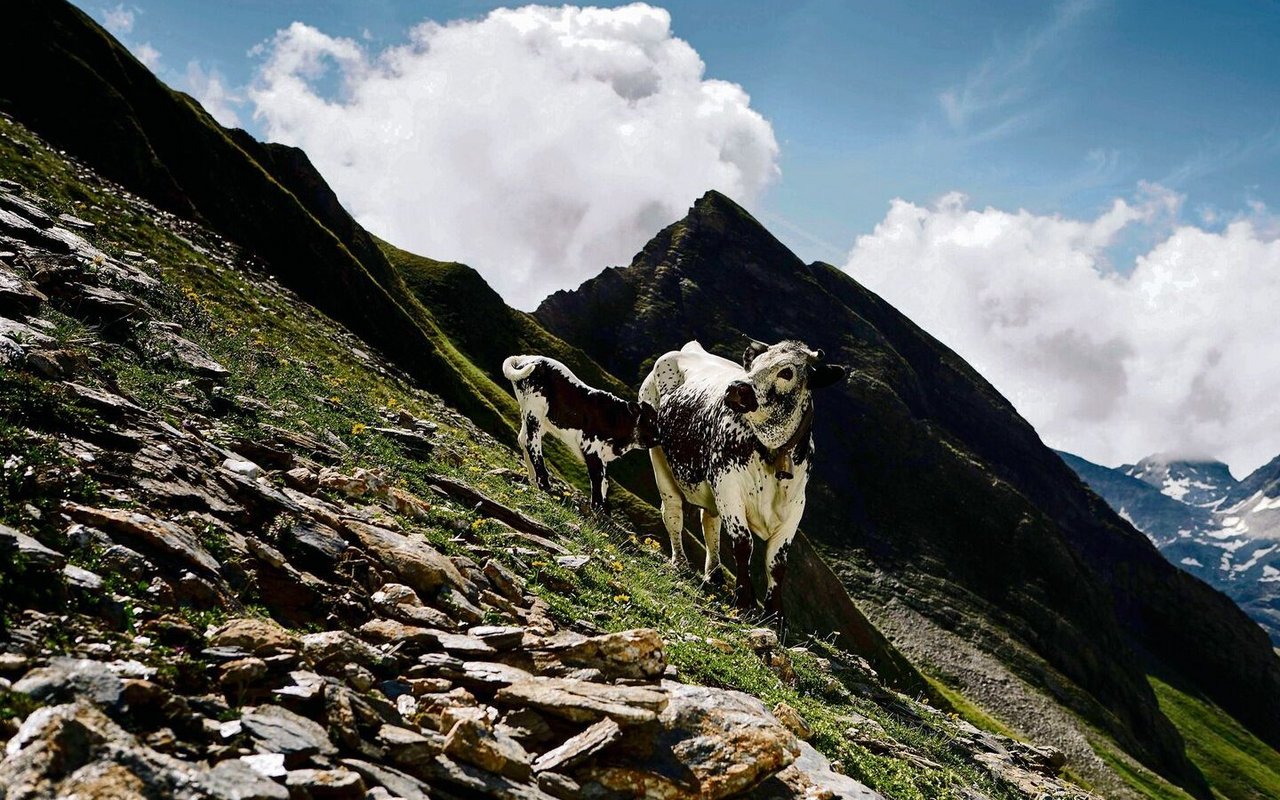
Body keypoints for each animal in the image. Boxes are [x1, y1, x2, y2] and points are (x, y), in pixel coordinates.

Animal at [501, 355, 655, 512]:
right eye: (650, 420)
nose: (658, 437)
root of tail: (525, 358)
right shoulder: (591, 446)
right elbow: (597, 477)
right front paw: (598, 509)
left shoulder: (603, 455)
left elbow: (605, 482)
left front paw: (604, 510)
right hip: (535, 411)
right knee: (531, 442)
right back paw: (545, 484)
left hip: (532, 416)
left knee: (522, 439)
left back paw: (534, 481)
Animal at [640, 337, 849, 637]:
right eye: (754, 365)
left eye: (787, 372)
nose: (736, 388)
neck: (773, 452)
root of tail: (690, 349)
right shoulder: (728, 485)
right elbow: (743, 544)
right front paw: (745, 601)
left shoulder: (796, 507)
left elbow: (777, 563)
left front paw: (775, 615)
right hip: (657, 453)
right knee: (673, 512)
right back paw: (679, 561)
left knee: (709, 522)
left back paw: (714, 573)